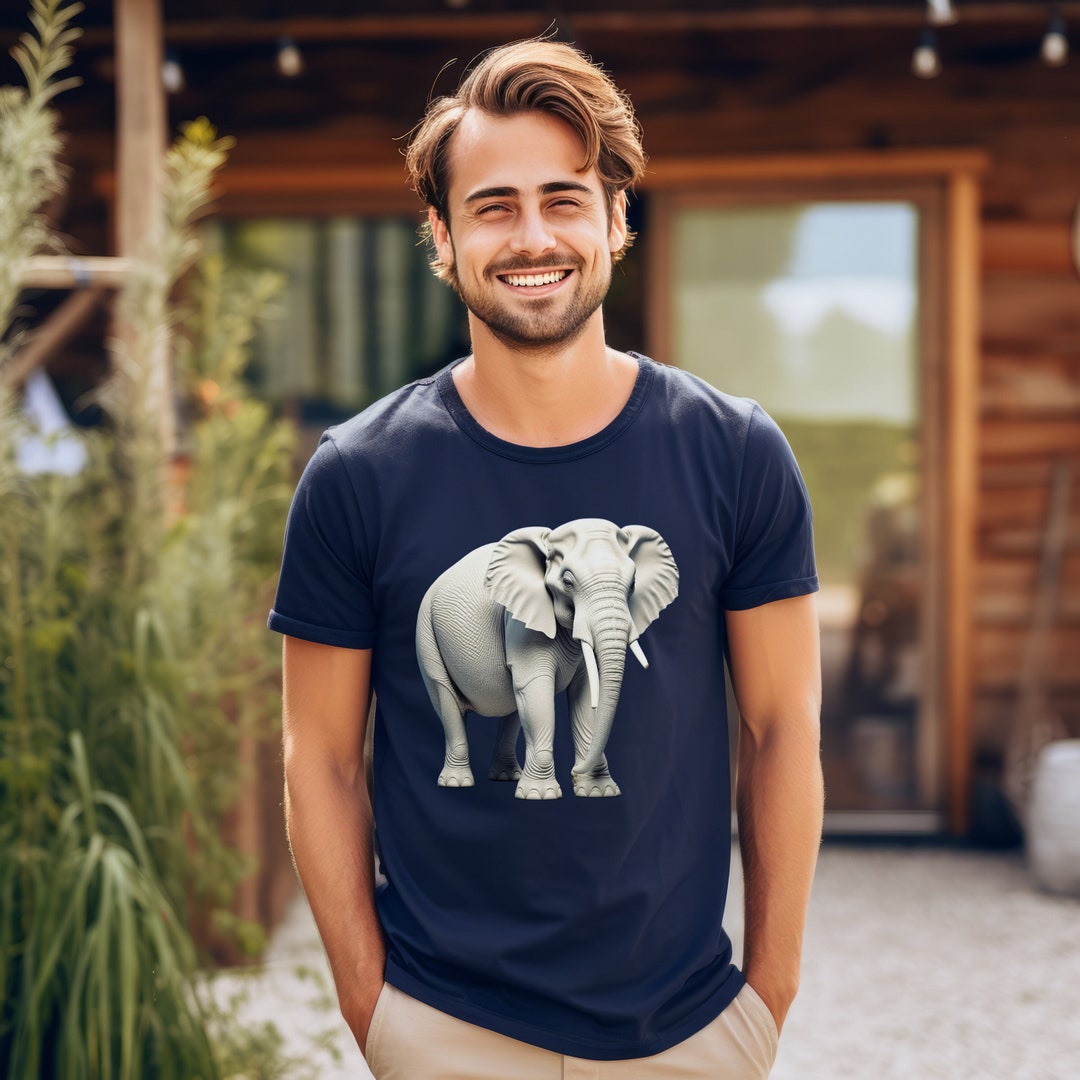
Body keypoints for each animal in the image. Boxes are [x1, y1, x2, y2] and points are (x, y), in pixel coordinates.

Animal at [415, 518, 679, 800]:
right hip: (426, 634)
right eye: (568, 582)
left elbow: (584, 695)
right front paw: (539, 795)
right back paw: (457, 783)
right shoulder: (521, 624)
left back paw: (506, 777)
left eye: (632, 584)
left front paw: (599, 791)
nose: (573, 771)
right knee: (447, 698)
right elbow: (536, 691)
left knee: (512, 708)